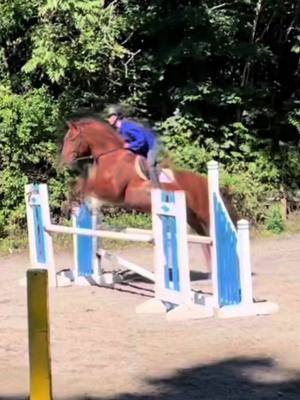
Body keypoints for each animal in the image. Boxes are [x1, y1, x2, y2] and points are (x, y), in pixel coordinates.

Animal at [61, 117, 237, 239]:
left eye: (72, 139)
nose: (63, 160)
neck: (112, 155)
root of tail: (207, 184)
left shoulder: (112, 192)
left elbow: (87, 189)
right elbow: (80, 186)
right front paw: (70, 203)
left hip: (205, 214)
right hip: (192, 218)